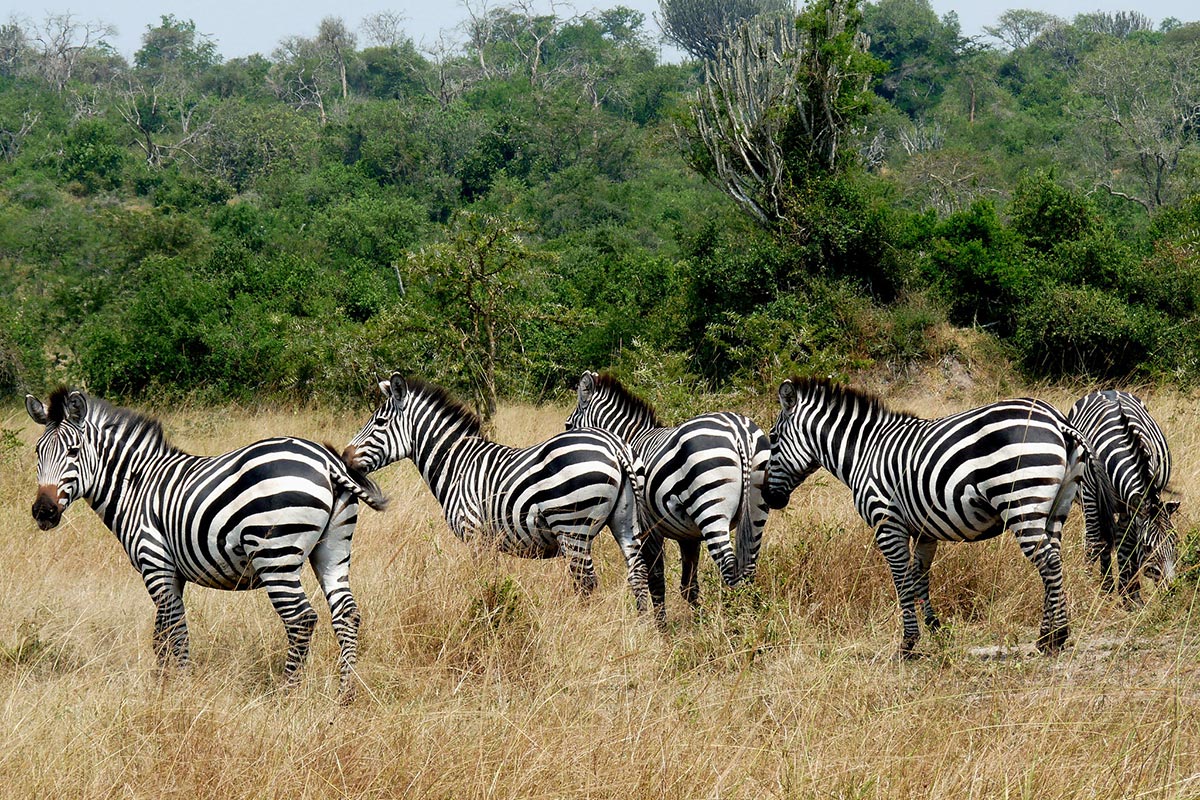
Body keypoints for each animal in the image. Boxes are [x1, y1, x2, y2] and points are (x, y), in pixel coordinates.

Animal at [26, 388, 387, 702]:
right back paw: (345, 694)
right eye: (38, 452)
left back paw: (287, 694)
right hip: (333, 549)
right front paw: (163, 685)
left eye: (73, 452)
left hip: (275, 555)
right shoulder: (173, 572)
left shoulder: (154, 562)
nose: (43, 512)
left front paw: (179, 689)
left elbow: (174, 631)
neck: (136, 486)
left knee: (301, 619)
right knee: (347, 614)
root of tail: (327, 461)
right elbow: (161, 634)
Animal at [341, 374, 656, 617]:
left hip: (572, 527)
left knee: (586, 582)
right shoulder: (489, 541)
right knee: (638, 574)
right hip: (624, 521)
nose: (344, 458)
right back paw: (642, 629)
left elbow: (481, 583)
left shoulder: (474, 535)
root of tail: (614, 445)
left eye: (380, 422)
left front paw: (484, 618)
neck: (457, 464)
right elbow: (493, 582)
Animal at [565, 371, 771, 610]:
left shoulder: (649, 531)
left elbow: (655, 579)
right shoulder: (689, 536)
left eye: (568, 425)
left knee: (730, 570)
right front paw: (697, 618)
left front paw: (661, 620)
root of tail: (740, 432)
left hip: (711, 511)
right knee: (748, 570)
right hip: (756, 512)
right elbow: (688, 586)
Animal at [762, 377, 1088, 656]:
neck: (863, 452)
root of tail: (1057, 420)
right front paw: (936, 630)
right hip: (1055, 508)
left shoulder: (886, 521)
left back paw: (1055, 637)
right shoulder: (924, 531)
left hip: (1022, 501)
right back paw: (1049, 634)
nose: (768, 498)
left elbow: (901, 579)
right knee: (1054, 559)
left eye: (773, 438)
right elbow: (920, 578)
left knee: (1047, 562)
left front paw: (908, 642)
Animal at [1067, 390, 1178, 603]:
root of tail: (1107, 390)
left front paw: (1131, 595)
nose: (1171, 590)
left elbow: (1127, 546)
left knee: (1117, 537)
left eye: (1175, 543)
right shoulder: (1091, 496)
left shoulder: (1133, 504)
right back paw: (1106, 586)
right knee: (1100, 538)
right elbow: (1095, 544)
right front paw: (1090, 588)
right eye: (1148, 548)